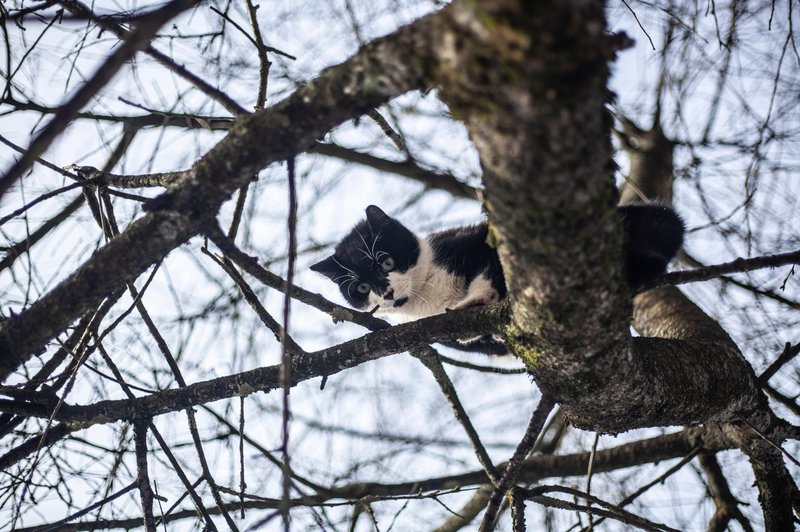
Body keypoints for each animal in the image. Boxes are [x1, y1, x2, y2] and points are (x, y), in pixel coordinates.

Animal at [310, 206, 684, 352]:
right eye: (360, 288)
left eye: (386, 261)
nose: (385, 292)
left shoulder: (476, 242)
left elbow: (489, 272)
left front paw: (474, 300)